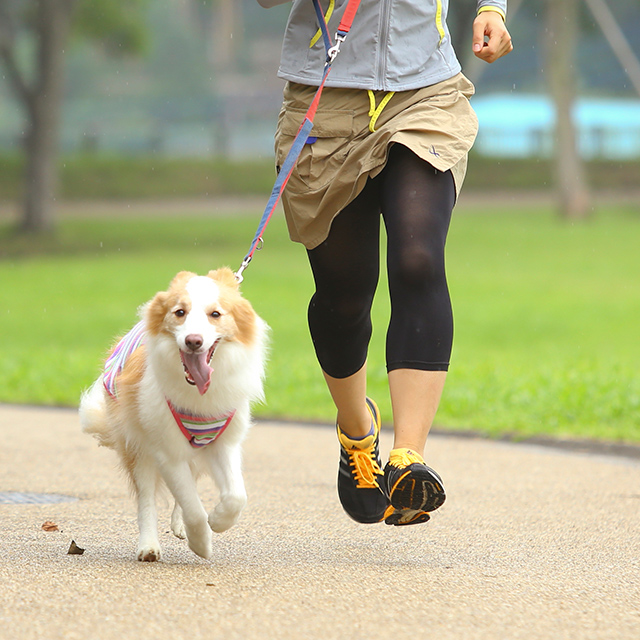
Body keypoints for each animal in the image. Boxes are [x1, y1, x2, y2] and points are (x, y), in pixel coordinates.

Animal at [79, 268, 268, 560]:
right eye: (180, 312)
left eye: (216, 314)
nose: (193, 341)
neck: (198, 396)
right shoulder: (166, 449)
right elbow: (191, 506)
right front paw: (201, 542)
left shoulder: (224, 442)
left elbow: (236, 496)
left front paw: (217, 521)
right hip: (137, 444)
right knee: (148, 497)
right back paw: (149, 546)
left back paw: (179, 526)